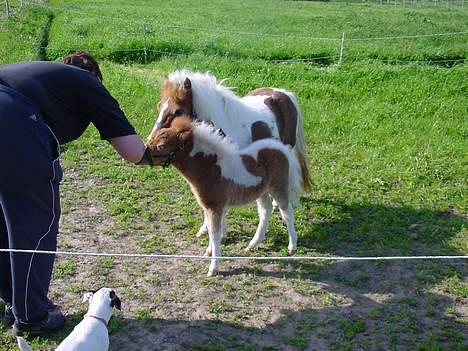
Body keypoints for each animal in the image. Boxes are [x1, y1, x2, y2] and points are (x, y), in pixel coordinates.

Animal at [145, 115, 300, 276]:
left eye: (161, 146)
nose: (143, 154)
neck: (211, 168)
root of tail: (280, 148)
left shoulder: (214, 207)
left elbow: (214, 233)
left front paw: (213, 267)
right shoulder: (209, 207)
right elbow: (211, 230)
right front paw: (209, 252)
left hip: (279, 187)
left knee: (287, 213)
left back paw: (292, 246)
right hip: (261, 191)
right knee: (265, 210)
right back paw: (253, 244)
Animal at [150, 70, 310, 238]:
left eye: (179, 111)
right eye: (159, 106)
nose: (151, 141)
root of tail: (285, 93)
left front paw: (220, 233)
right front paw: (206, 229)